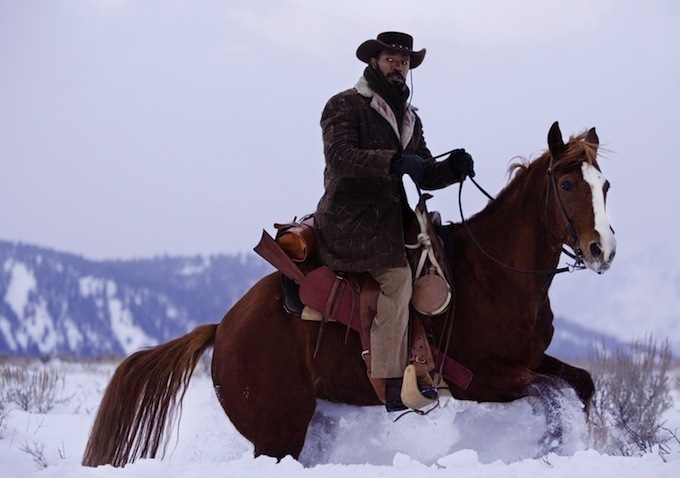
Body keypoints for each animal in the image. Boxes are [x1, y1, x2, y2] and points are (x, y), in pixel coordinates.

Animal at [81, 120, 616, 466]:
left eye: (605, 184)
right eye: (566, 183)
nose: (602, 249)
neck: (496, 274)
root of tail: (224, 327)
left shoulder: (530, 359)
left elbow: (581, 385)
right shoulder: (478, 378)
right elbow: (550, 395)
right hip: (277, 434)